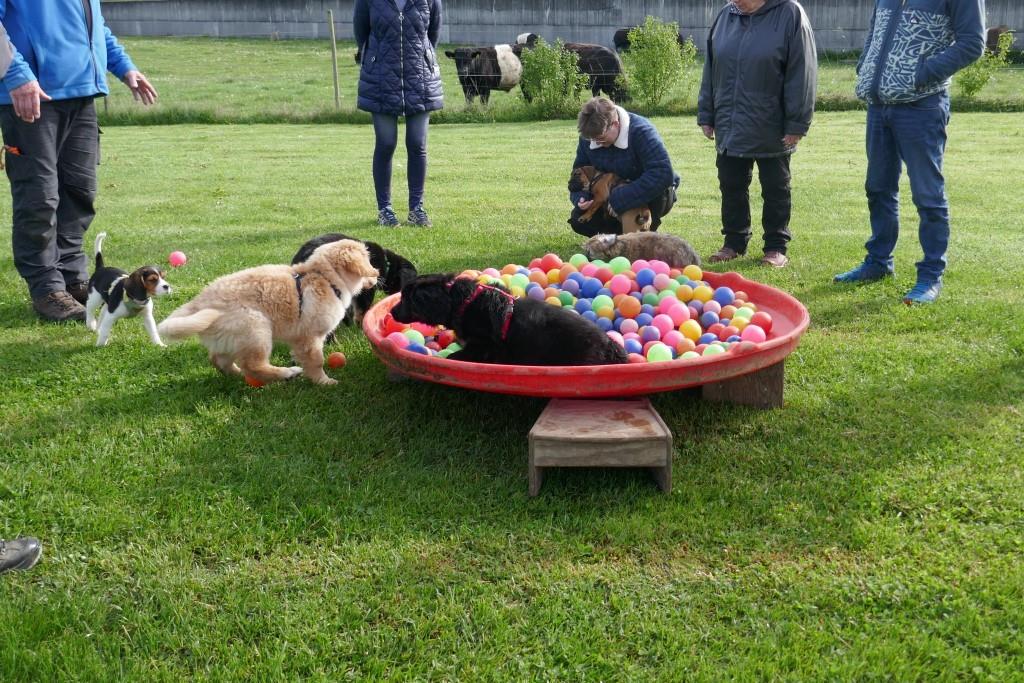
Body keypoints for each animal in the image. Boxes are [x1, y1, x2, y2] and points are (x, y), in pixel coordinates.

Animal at [158, 240, 378, 385]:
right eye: (369, 261)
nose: (377, 275)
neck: (324, 277)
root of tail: (198, 303)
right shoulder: (310, 337)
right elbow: (316, 361)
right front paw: (324, 382)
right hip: (255, 327)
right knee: (253, 365)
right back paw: (287, 373)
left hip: (231, 337)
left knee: (220, 360)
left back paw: (237, 374)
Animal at [391, 274, 628, 366]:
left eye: (405, 299)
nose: (391, 313)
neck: (462, 300)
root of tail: (611, 346)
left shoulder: (481, 345)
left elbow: (456, 356)